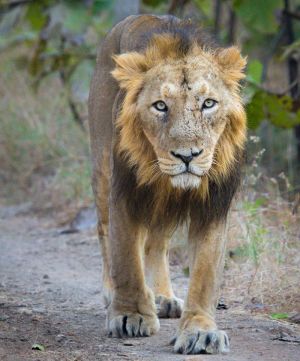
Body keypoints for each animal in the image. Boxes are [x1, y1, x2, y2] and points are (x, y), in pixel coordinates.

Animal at [87, 14, 246, 354]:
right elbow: (126, 257)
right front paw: (130, 315)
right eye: (160, 106)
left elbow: (204, 274)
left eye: (208, 103)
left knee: (156, 243)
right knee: (104, 231)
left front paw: (200, 331)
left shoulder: (213, 206)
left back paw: (162, 297)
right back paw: (113, 293)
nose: (188, 155)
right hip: (102, 171)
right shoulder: (126, 193)